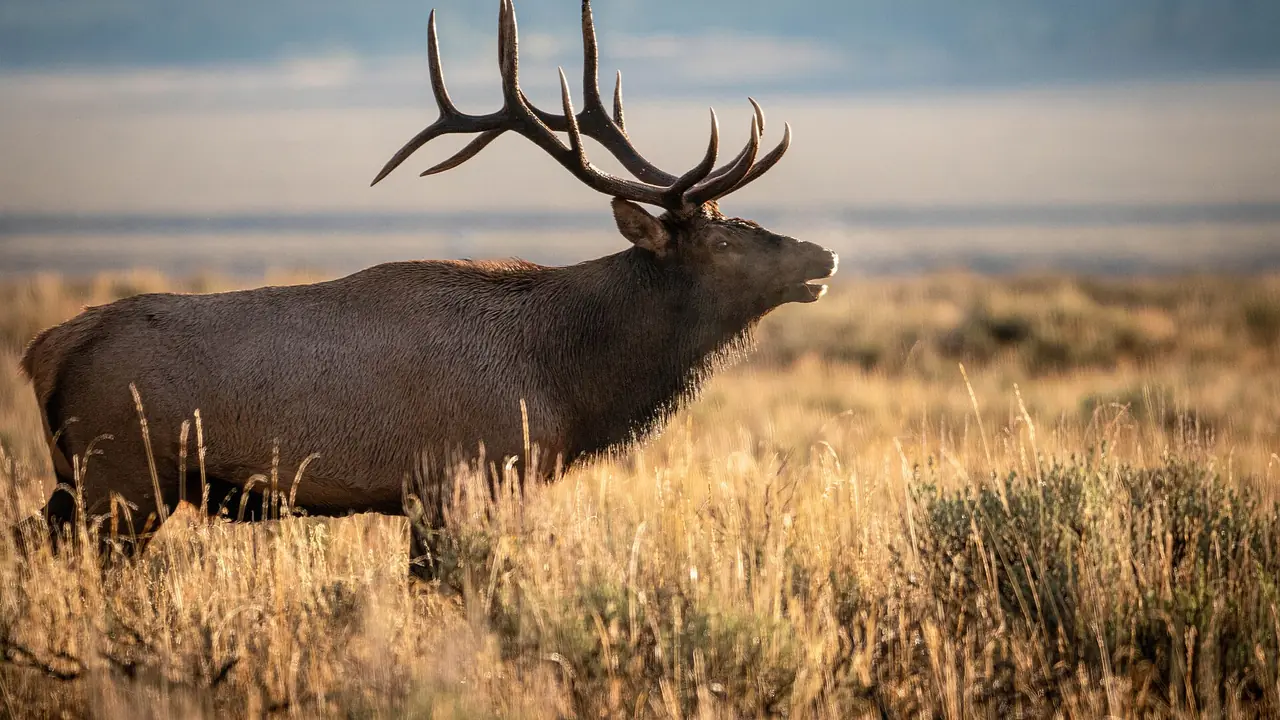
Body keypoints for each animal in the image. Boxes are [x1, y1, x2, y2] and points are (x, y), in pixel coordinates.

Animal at [14, 0, 837, 577]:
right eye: (724, 242)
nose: (823, 255)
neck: (566, 382)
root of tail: (44, 351)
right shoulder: (460, 480)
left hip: (81, 482)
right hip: (120, 478)